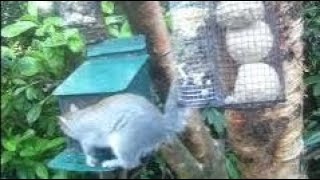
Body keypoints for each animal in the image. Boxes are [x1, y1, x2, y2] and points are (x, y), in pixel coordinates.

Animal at [58, 83, 186, 169]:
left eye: (62, 127)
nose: (61, 130)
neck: (78, 119)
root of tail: (162, 125)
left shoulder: (87, 138)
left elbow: (88, 150)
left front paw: (89, 160)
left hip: (125, 140)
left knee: (131, 163)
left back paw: (111, 163)